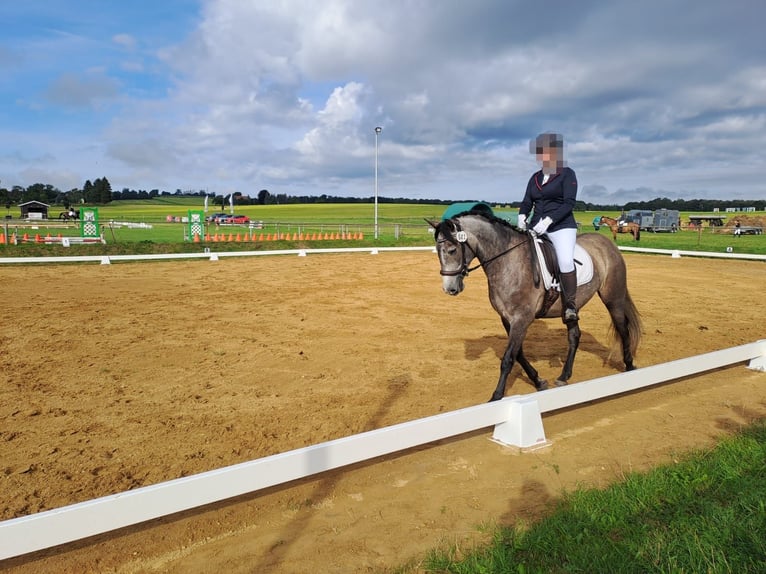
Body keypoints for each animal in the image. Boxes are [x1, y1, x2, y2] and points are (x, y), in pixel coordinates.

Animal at [432, 209, 640, 402]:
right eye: (437, 251)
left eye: (452, 250)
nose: (450, 289)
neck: (508, 261)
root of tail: (607, 242)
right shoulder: (508, 319)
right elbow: (518, 354)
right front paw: (538, 381)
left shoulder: (522, 319)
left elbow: (508, 358)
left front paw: (496, 397)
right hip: (572, 307)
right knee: (574, 336)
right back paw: (564, 376)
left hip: (613, 298)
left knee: (623, 329)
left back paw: (630, 366)